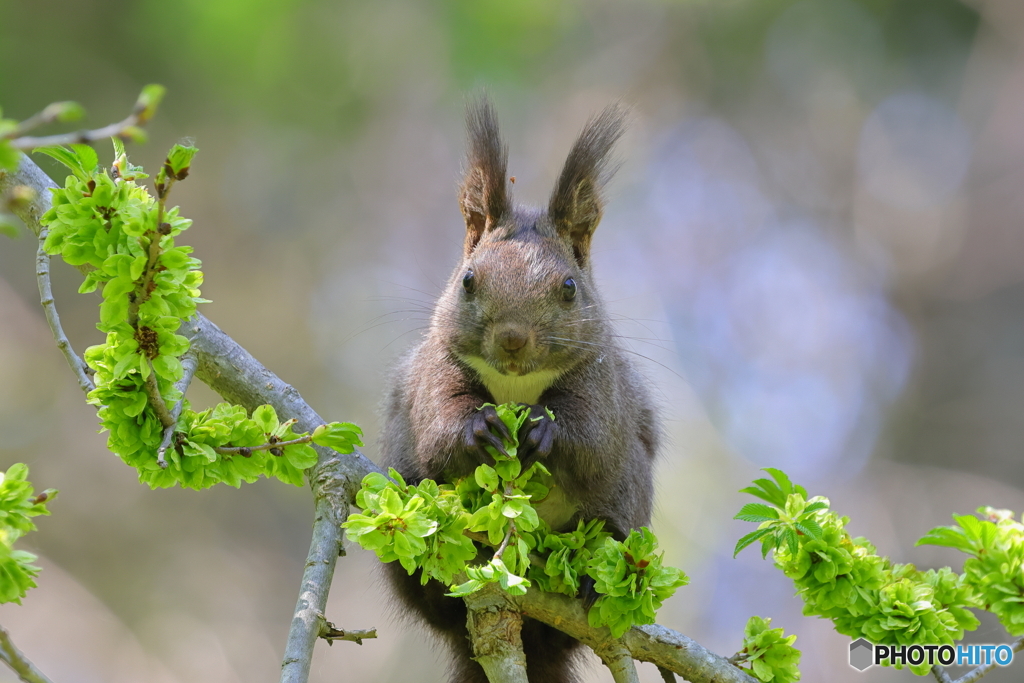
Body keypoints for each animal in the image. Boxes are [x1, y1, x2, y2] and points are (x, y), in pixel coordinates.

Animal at [380, 100, 659, 683]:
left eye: (570, 288)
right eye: (467, 280)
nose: (512, 338)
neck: (516, 382)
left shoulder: (604, 387)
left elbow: (594, 438)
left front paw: (542, 430)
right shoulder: (434, 375)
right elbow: (437, 428)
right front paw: (478, 428)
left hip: (626, 507)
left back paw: (587, 580)